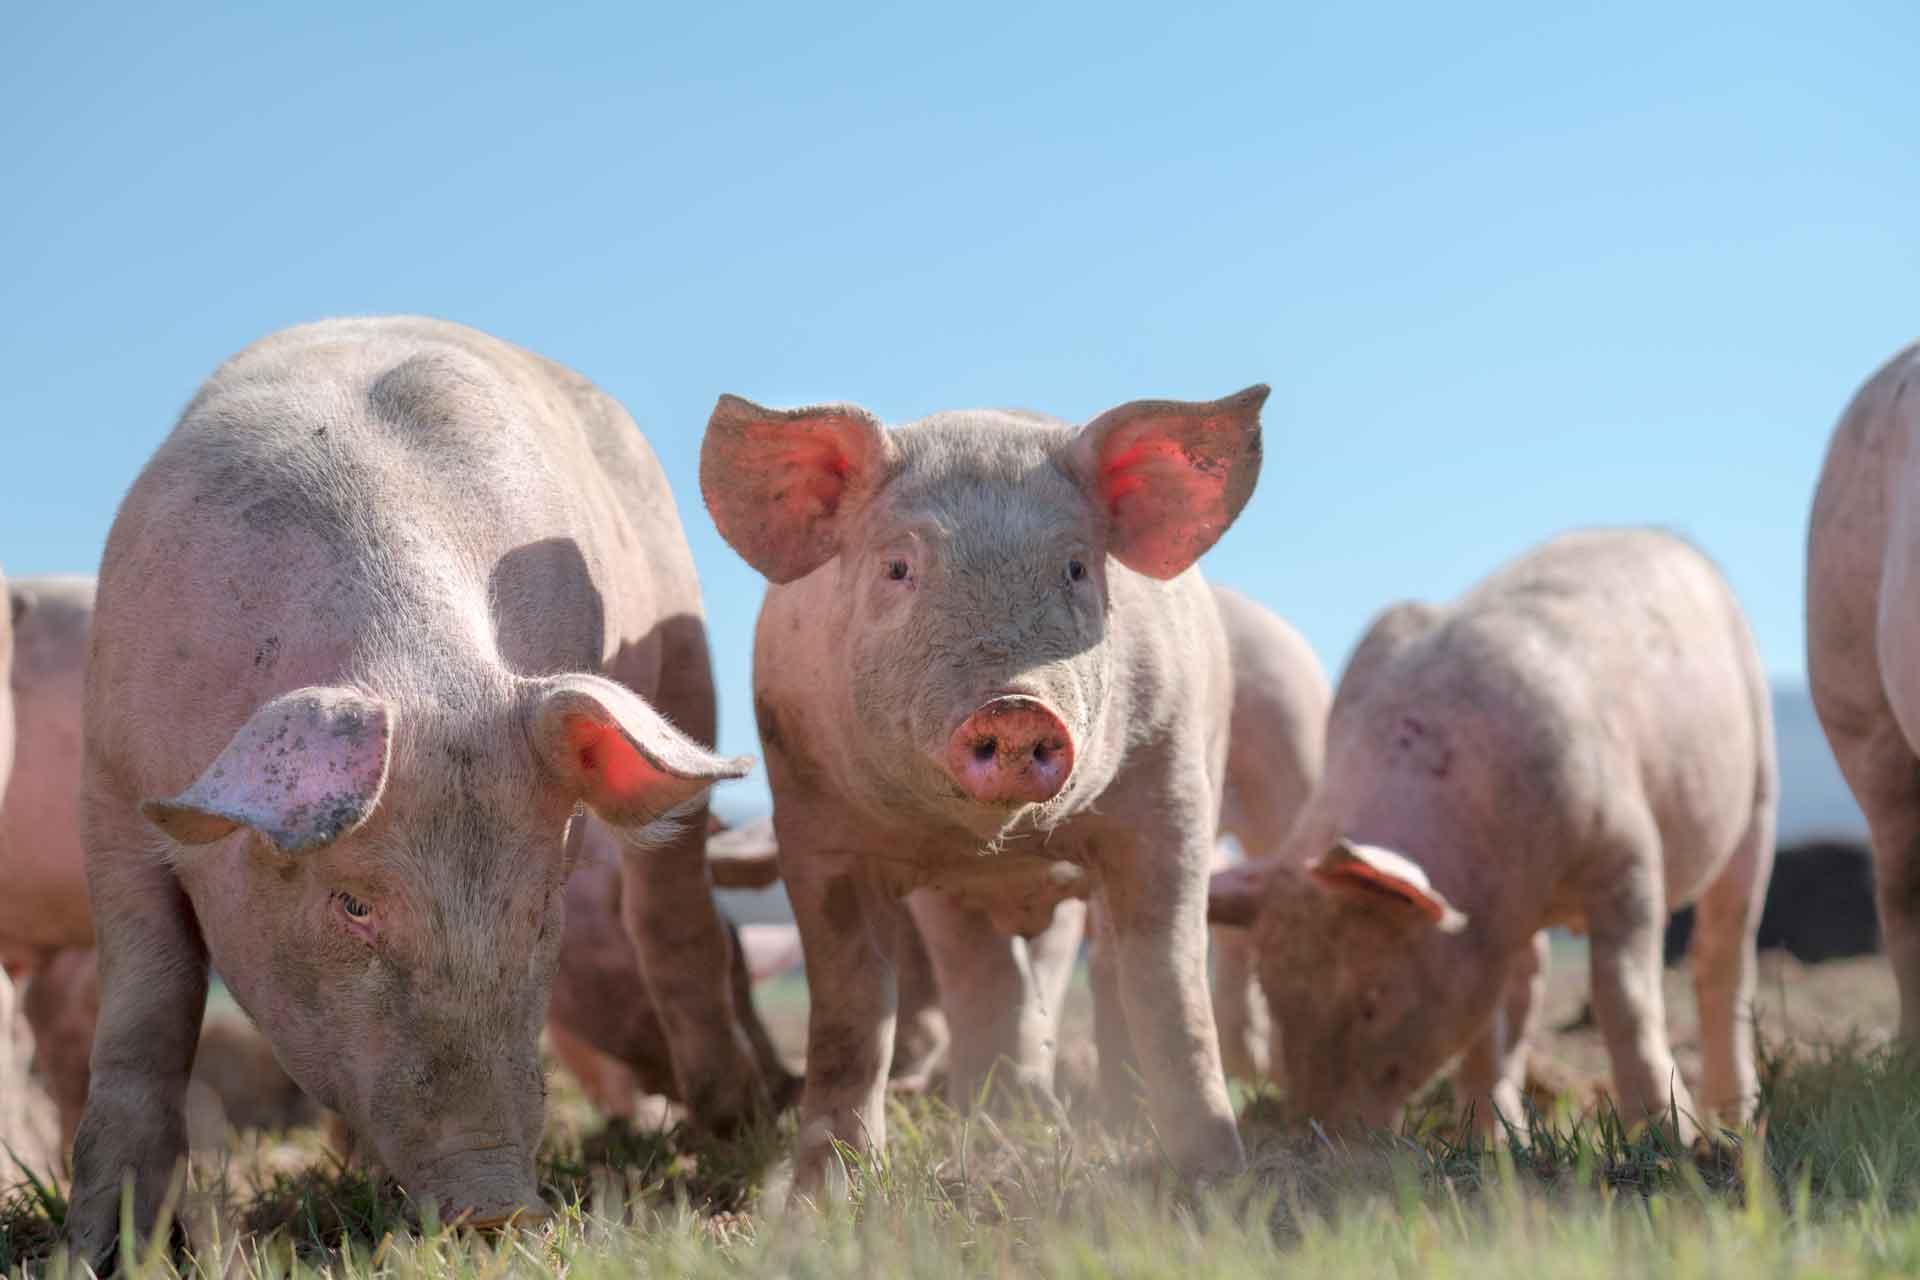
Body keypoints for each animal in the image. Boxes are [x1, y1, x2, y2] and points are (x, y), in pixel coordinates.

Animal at [67, 317, 758, 1261]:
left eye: (539, 906)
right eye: (353, 904)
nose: (497, 1204)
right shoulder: (110, 783)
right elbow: (149, 1006)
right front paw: (102, 1251)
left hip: (684, 654)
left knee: (673, 911)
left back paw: (732, 1124)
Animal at [701, 385, 1268, 1191]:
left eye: (1075, 568)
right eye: (898, 567)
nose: (1014, 706)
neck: (997, 838)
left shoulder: (1172, 790)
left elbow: (1170, 982)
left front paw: (1218, 1180)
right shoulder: (813, 822)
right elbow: (851, 1007)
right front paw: (824, 1196)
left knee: (1099, 962)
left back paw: (1100, 1116)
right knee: (983, 968)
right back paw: (1004, 1116)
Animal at [1208, 529, 1776, 1138]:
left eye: (1372, 999)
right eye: (1277, 995)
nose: (1317, 1138)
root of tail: (1667, 534)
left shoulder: (1627, 851)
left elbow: (1624, 992)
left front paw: (1672, 1138)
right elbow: (1487, 1026)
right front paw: (1491, 1145)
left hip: (1759, 783)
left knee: (1724, 953)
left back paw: (1735, 1120)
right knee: (1530, 985)